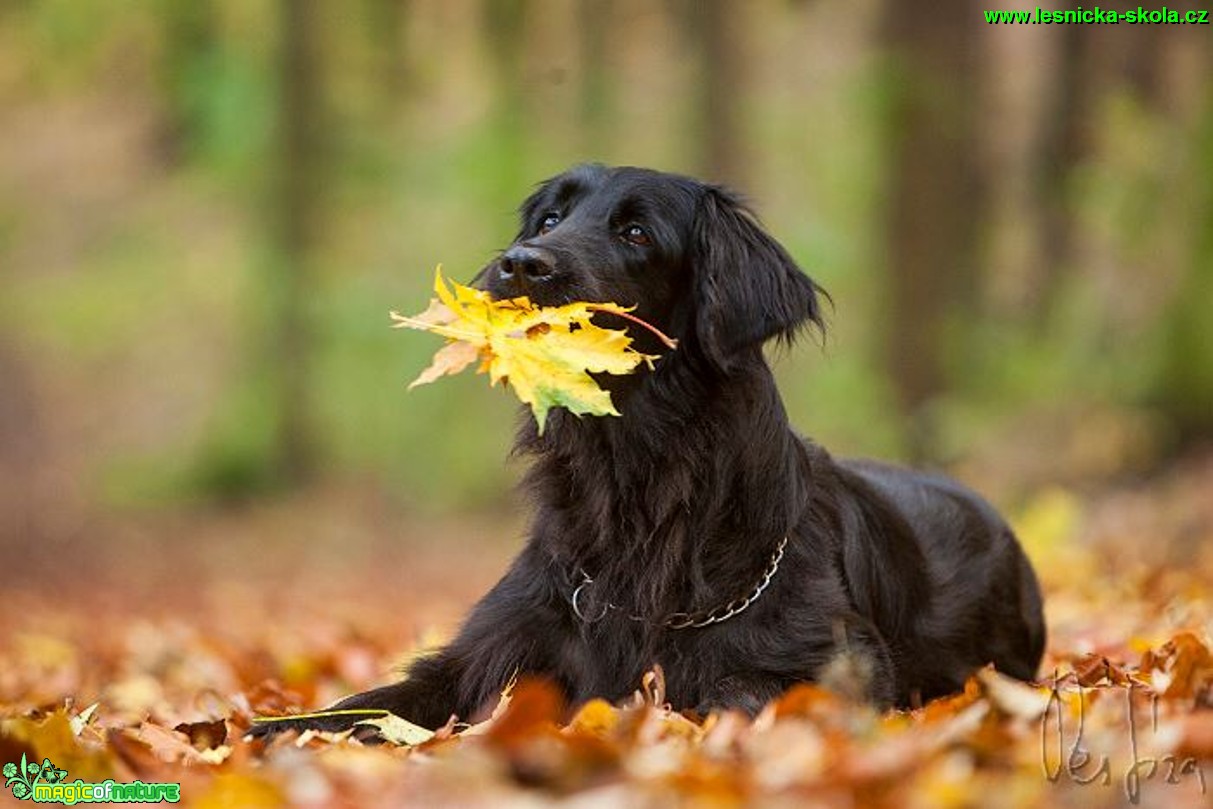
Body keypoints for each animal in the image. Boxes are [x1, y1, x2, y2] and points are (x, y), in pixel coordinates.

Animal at [253, 167, 1043, 737]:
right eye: (549, 219)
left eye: (635, 232)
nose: (518, 264)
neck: (630, 477)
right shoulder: (490, 650)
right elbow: (370, 701)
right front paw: (264, 730)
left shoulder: (829, 666)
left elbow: (727, 692)